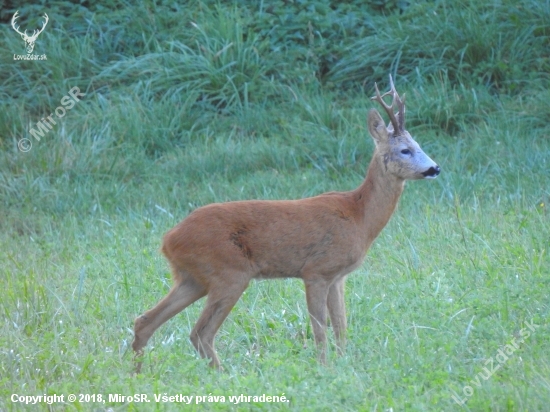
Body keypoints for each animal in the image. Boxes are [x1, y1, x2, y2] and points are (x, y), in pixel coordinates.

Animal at [133, 75, 440, 370]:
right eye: (404, 150)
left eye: (419, 145)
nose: (435, 168)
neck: (359, 216)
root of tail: (168, 240)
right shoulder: (316, 271)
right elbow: (320, 329)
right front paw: (324, 369)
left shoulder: (338, 277)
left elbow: (341, 327)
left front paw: (345, 364)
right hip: (229, 272)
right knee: (200, 332)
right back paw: (223, 375)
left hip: (193, 277)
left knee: (145, 320)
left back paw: (137, 372)